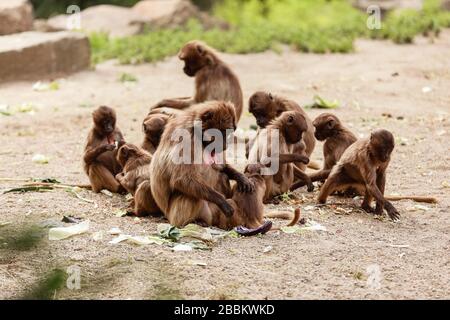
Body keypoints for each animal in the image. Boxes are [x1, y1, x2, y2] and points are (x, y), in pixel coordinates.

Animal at [150, 100, 253, 228]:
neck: (196, 131)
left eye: (227, 133)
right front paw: (223, 201)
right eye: (219, 134)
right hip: (179, 215)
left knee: (222, 175)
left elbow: (220, 166)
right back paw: (191, 222)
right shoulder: (186, 140)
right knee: (189, 195)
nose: (225, 146)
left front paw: (241, 178)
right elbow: (181, 179)